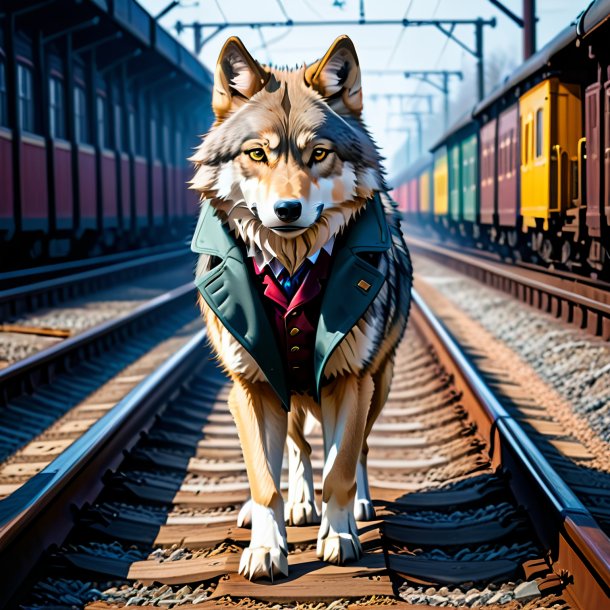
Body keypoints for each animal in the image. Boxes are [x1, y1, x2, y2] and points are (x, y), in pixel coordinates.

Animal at [189, 34, 408, 580]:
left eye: (319, 154)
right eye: (257, 153)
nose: (287, 210)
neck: (290, 268)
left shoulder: (350, 380)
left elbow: (341, 468)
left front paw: (340, 536)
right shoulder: (251, 383)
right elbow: (265, 477)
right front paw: (268, 549)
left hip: (379, 384)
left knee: (359, 449)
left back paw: (357, 507)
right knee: (297, 446)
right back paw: (290, 506)